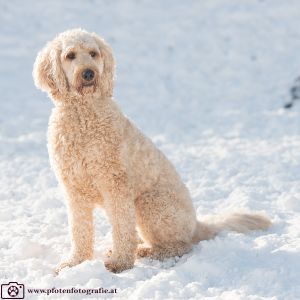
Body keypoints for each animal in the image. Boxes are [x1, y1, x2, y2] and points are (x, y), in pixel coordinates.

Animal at [32, 29, 272, 274]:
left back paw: (145, 251)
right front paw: (74, 263)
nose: (89, 73)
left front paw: (120, 262)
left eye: (93, 53)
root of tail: (196, 224)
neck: (84, 115)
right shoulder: (74, 189)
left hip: (149, 203)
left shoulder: (115, 184)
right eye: (70, 55)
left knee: (180, 245)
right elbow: (80, 231)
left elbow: (122, 227)